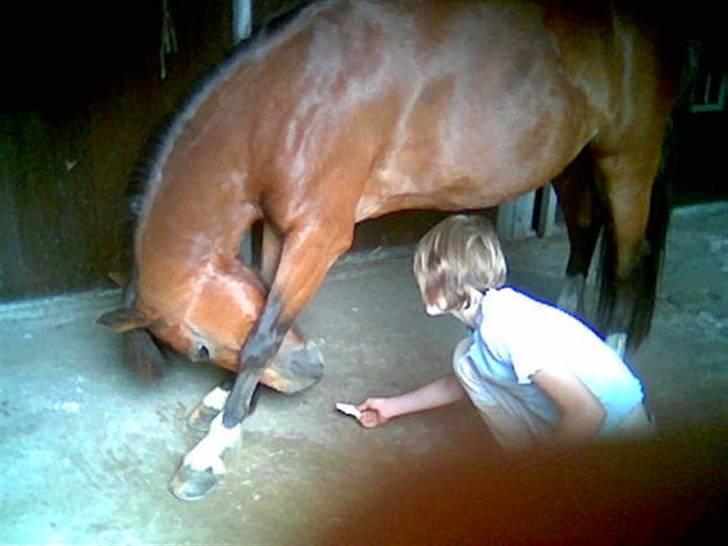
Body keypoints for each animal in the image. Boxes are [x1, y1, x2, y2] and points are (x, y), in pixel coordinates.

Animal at [97, 0, 687, 500]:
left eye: (196, 349)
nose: (311, 371)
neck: (290, 99)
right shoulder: (280, 228)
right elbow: (269, 314)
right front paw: (230, 400)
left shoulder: (320, 234)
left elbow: (262, 338)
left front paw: (210, 453)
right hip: (571, 160)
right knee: (585, 235)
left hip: (626, 161)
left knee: (627, 264)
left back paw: (612, 356)